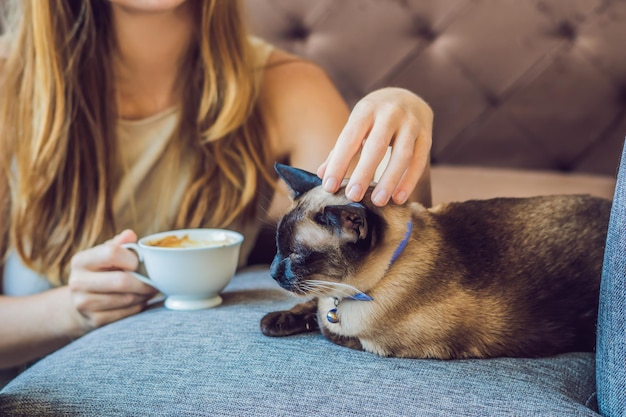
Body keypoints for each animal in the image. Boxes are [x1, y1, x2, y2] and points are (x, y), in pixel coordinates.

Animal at [258, 162, 608, 358]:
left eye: (296, 255)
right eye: (277, 248)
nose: (272, 272)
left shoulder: (375, 343)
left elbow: (326, 327)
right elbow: (309, 306)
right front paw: (275, 321)